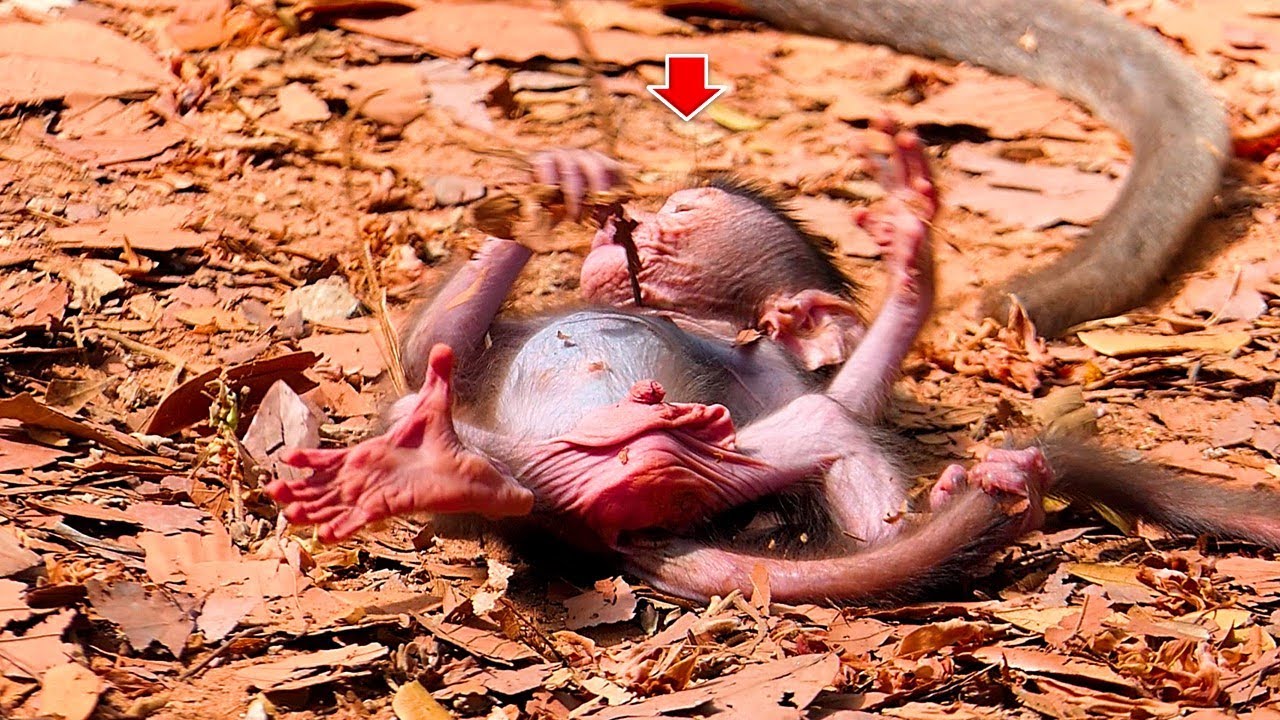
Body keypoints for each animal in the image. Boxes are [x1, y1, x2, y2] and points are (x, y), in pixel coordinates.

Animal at [266, 126, 1280, 604]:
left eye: (679, 219)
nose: (618, 226)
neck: (683, 315)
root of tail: (594, 520)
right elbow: (428, 350)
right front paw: (562, 178)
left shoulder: (771, 377)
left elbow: (849, 398)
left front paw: (912, 249)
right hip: (530, 477)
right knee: (481, 464)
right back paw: (432, 468)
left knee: (814, 436)